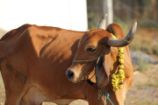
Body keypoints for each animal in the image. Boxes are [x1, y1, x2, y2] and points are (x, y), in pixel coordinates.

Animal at [0, 21, 136, 105]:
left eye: (91, 48)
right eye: (78, 45)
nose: (70, 73)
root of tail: (9, 34)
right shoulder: (95, 99)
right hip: (14, 91)